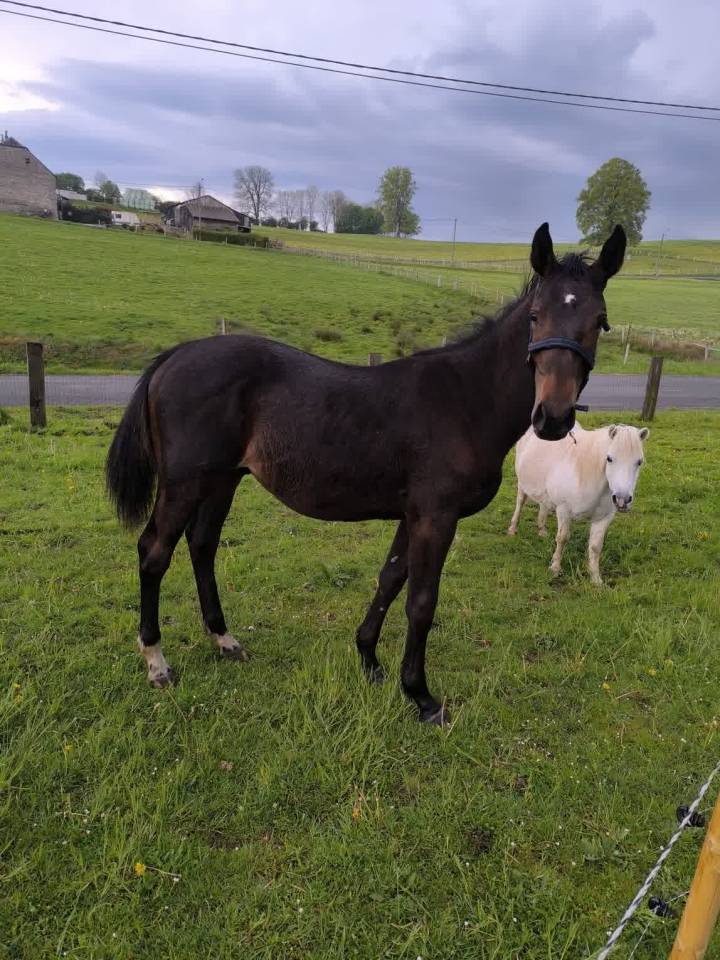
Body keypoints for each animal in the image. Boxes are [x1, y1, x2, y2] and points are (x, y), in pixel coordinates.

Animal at [106, 222, 626, 726]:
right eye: (536, 315)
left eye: (600, 321)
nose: (553, 417)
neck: (465, 401)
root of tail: (174, 355)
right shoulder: (436, 517)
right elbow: (421, 600)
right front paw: (420, 696)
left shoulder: (413, 514)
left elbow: (390, 578)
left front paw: (370, 660)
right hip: (185, 484)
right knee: (154, 553)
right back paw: (156, 660)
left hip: (222, 480)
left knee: (202, 546)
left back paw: (224, 639)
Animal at [507, 422, 649, 585]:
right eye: (609, 458)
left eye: (639, 462)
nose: (622, 500)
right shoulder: (563, 510)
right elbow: (562, 538)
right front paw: (555, 568)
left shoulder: (604, 519)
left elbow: (595, 547)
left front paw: (595, 579)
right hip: (522, 484)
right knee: (520, 502)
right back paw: (512, 529)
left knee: (544, 505)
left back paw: (542, 531)